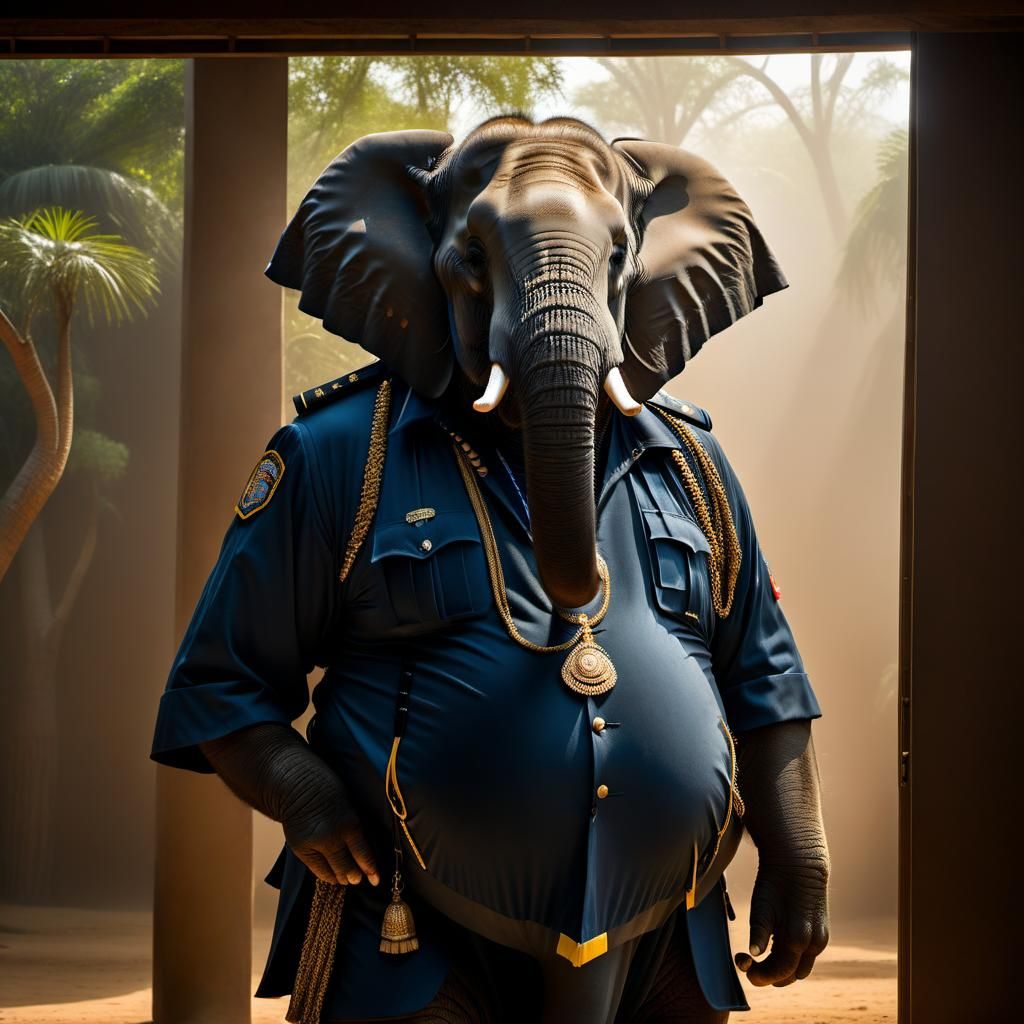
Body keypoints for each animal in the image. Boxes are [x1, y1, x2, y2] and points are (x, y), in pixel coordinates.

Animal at [152, 113, 829, 1024]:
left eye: (620, 254)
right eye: (470, 257)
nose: (575, 613)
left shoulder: (718, 472)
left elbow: (757, 669)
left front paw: (791, 934)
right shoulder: (292, 466)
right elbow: (228, 677)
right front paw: (337, 837)